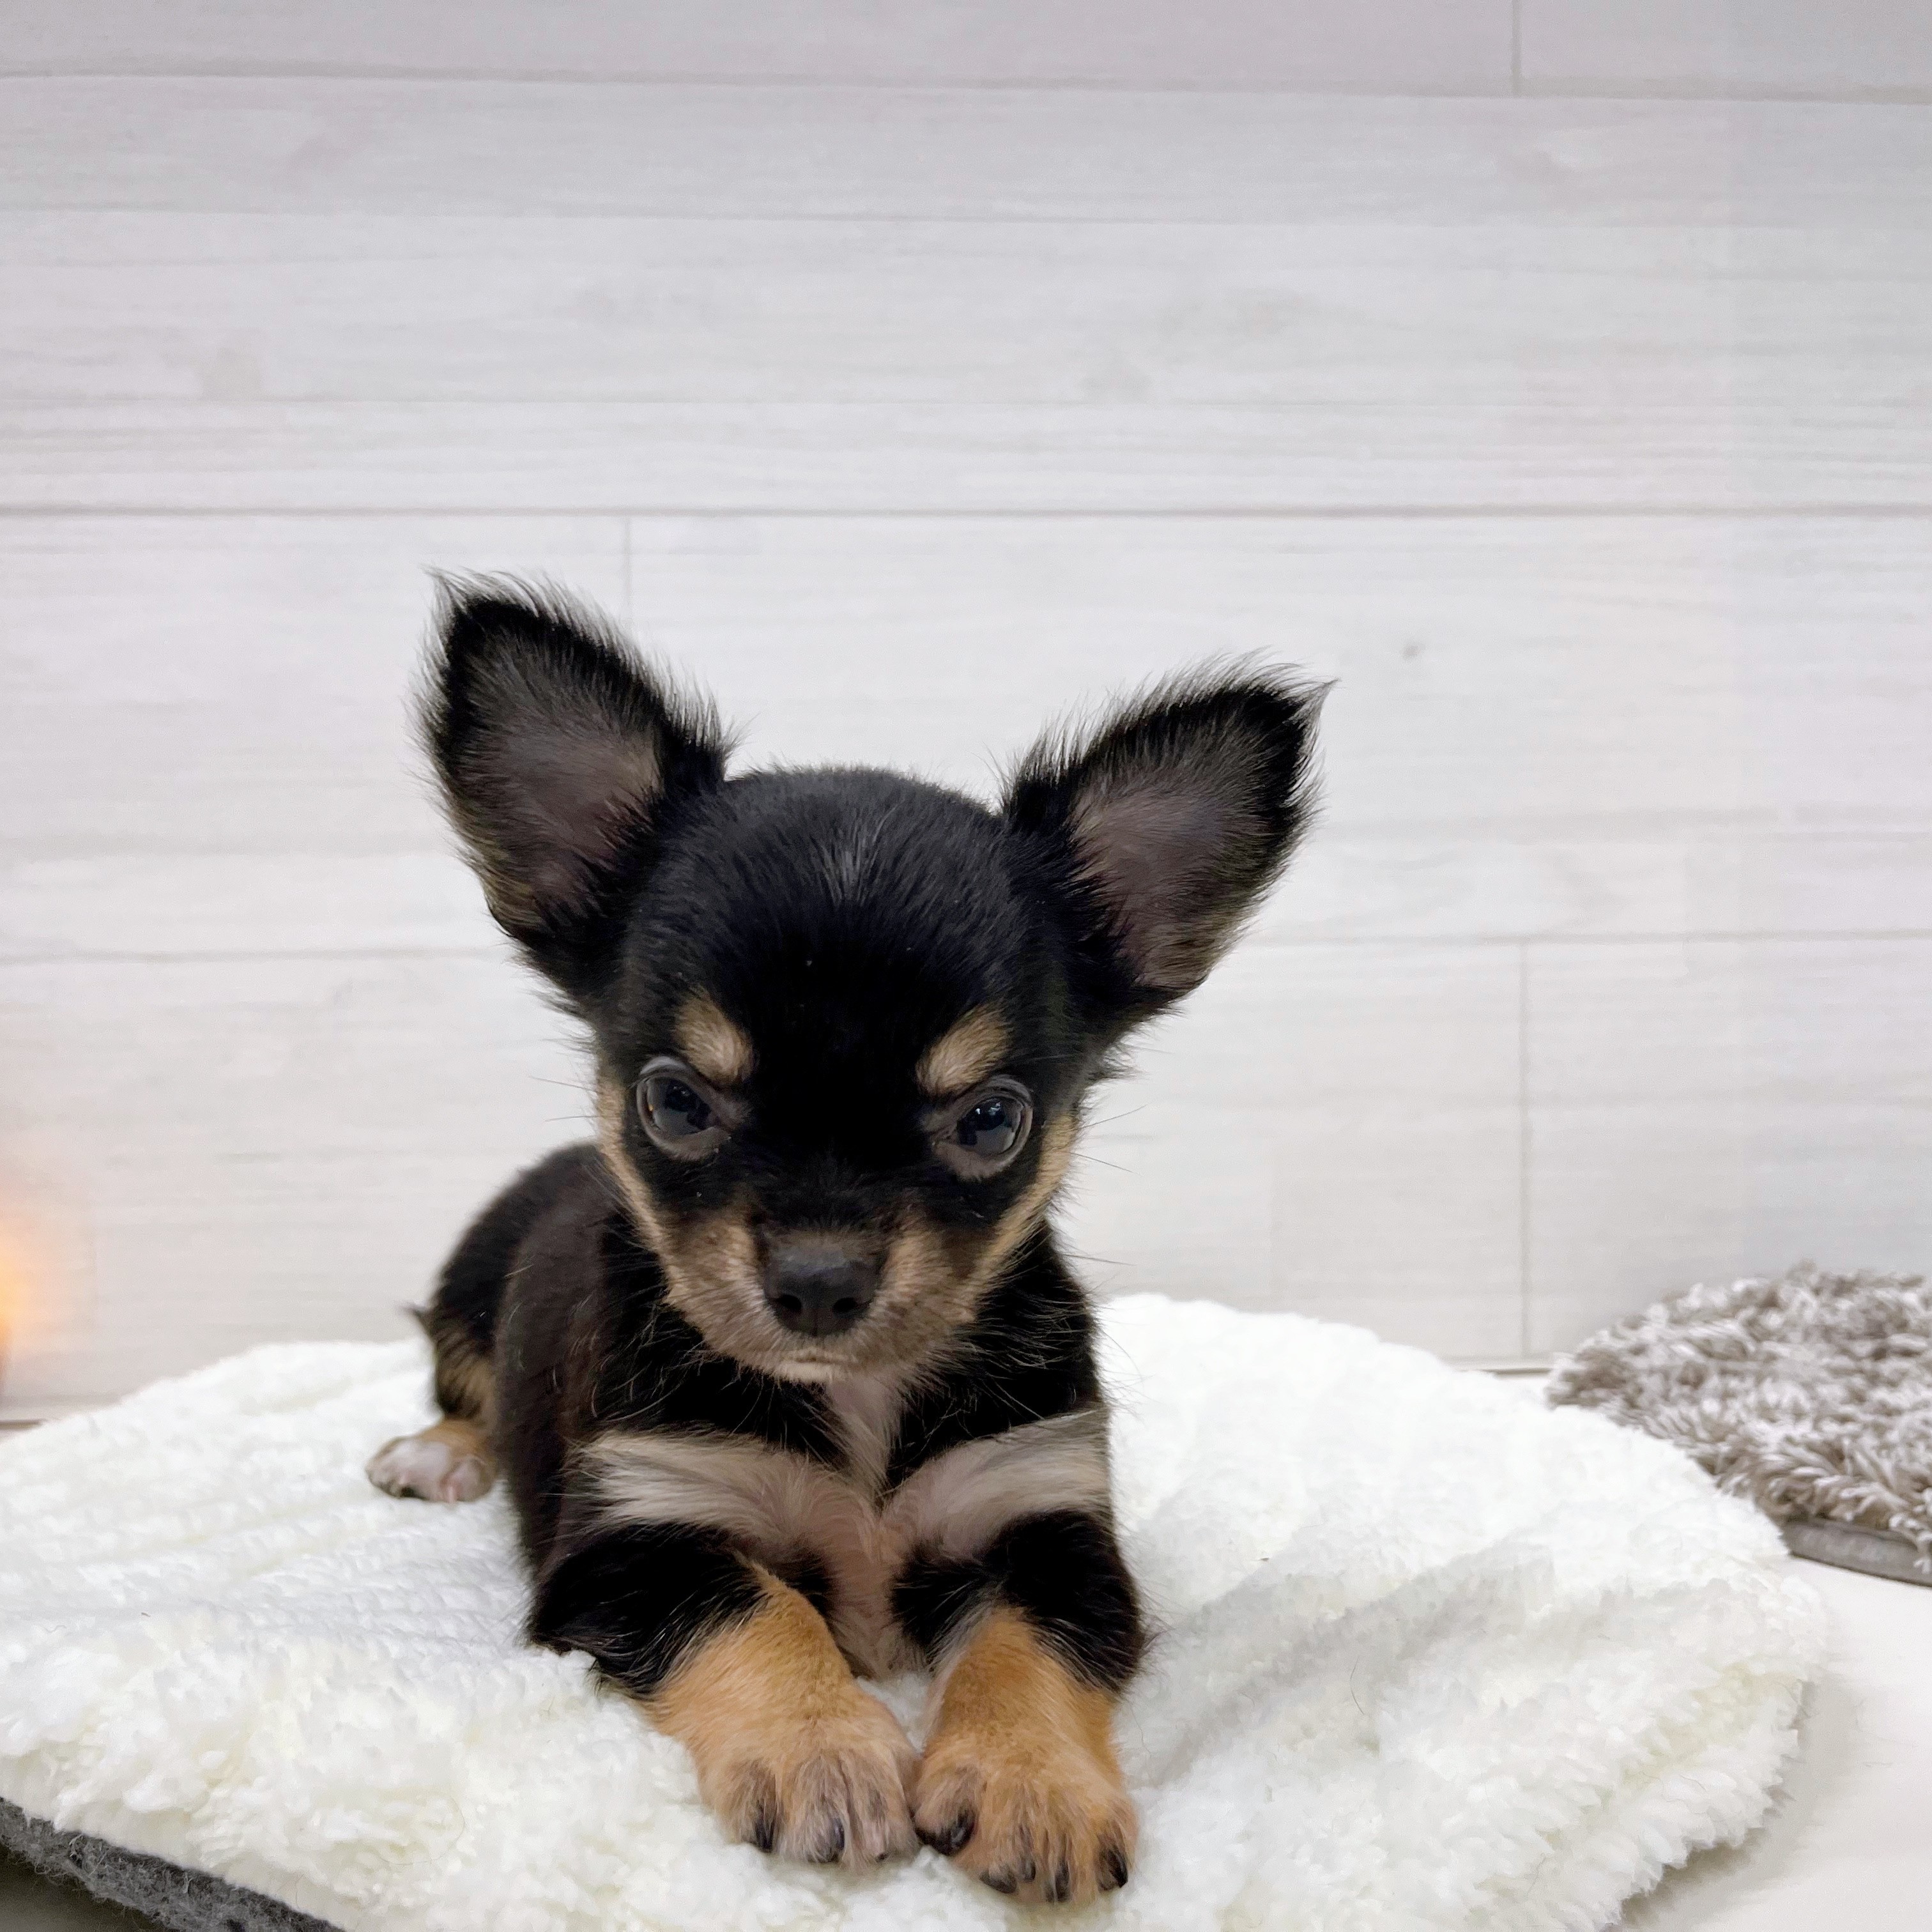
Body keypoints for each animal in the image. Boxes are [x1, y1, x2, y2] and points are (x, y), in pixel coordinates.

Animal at [367, 581, 1320, 1905]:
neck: (856, 1395)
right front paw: (817, 1749)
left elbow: (1024, 1641)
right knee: (460, 1388)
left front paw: (1031, 1780)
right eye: (674, 1102)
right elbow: (756, 1607)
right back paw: (442, 1452)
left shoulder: (1048, 1521)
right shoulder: (633, 1538)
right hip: (469, 1288)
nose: (818, 1281)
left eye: (991, 1120)